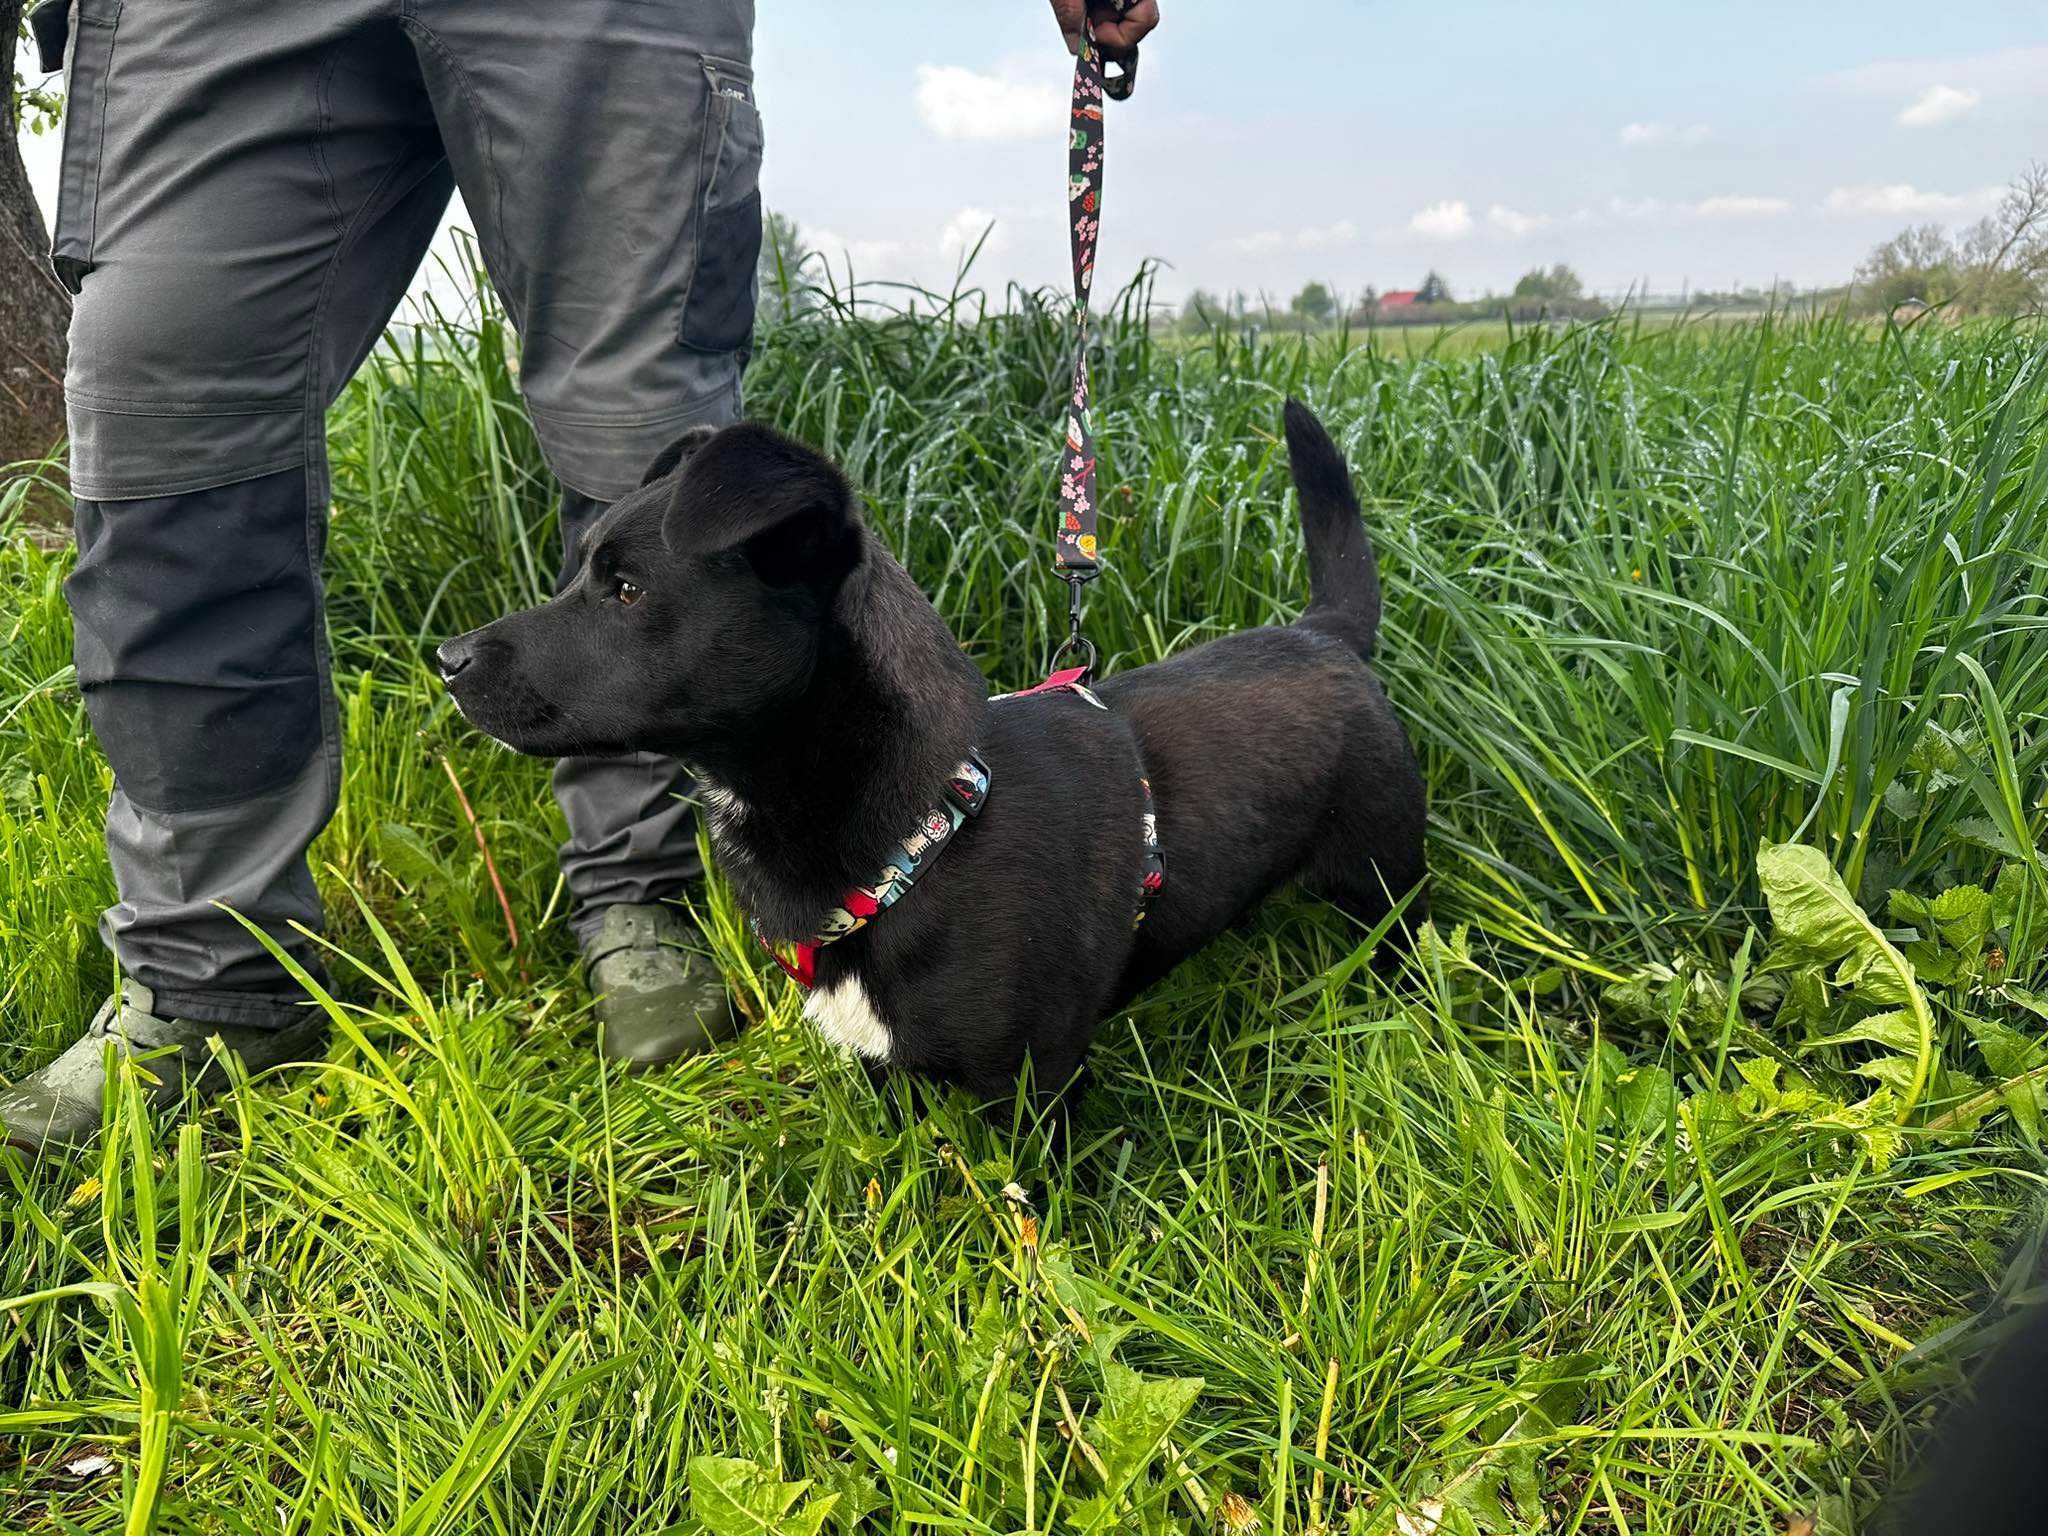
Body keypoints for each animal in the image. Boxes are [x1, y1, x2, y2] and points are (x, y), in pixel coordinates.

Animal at [436, 403, 1425, 1097]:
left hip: (1385, 883)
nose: (446, 659)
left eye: (628, 591)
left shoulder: (1033, 1085)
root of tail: (1325, 632)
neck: (929, 829)